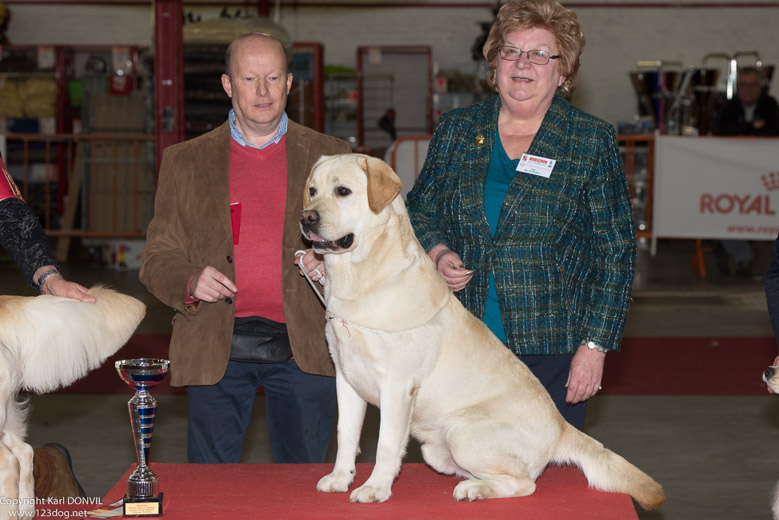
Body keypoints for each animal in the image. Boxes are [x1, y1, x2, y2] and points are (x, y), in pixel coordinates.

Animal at [302, 152, 668, 510]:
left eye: (343, 191)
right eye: (312, 190)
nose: (306, 218)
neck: (358, 277)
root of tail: (562, 427)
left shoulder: (397, 387)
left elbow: (386, 445)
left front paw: (375, 488)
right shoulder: (347, 379)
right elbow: (346, 435)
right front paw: (340, 478)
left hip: (463, 433)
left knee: (526, 484)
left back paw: (473, 490)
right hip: (438, 450)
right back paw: (474, 484)